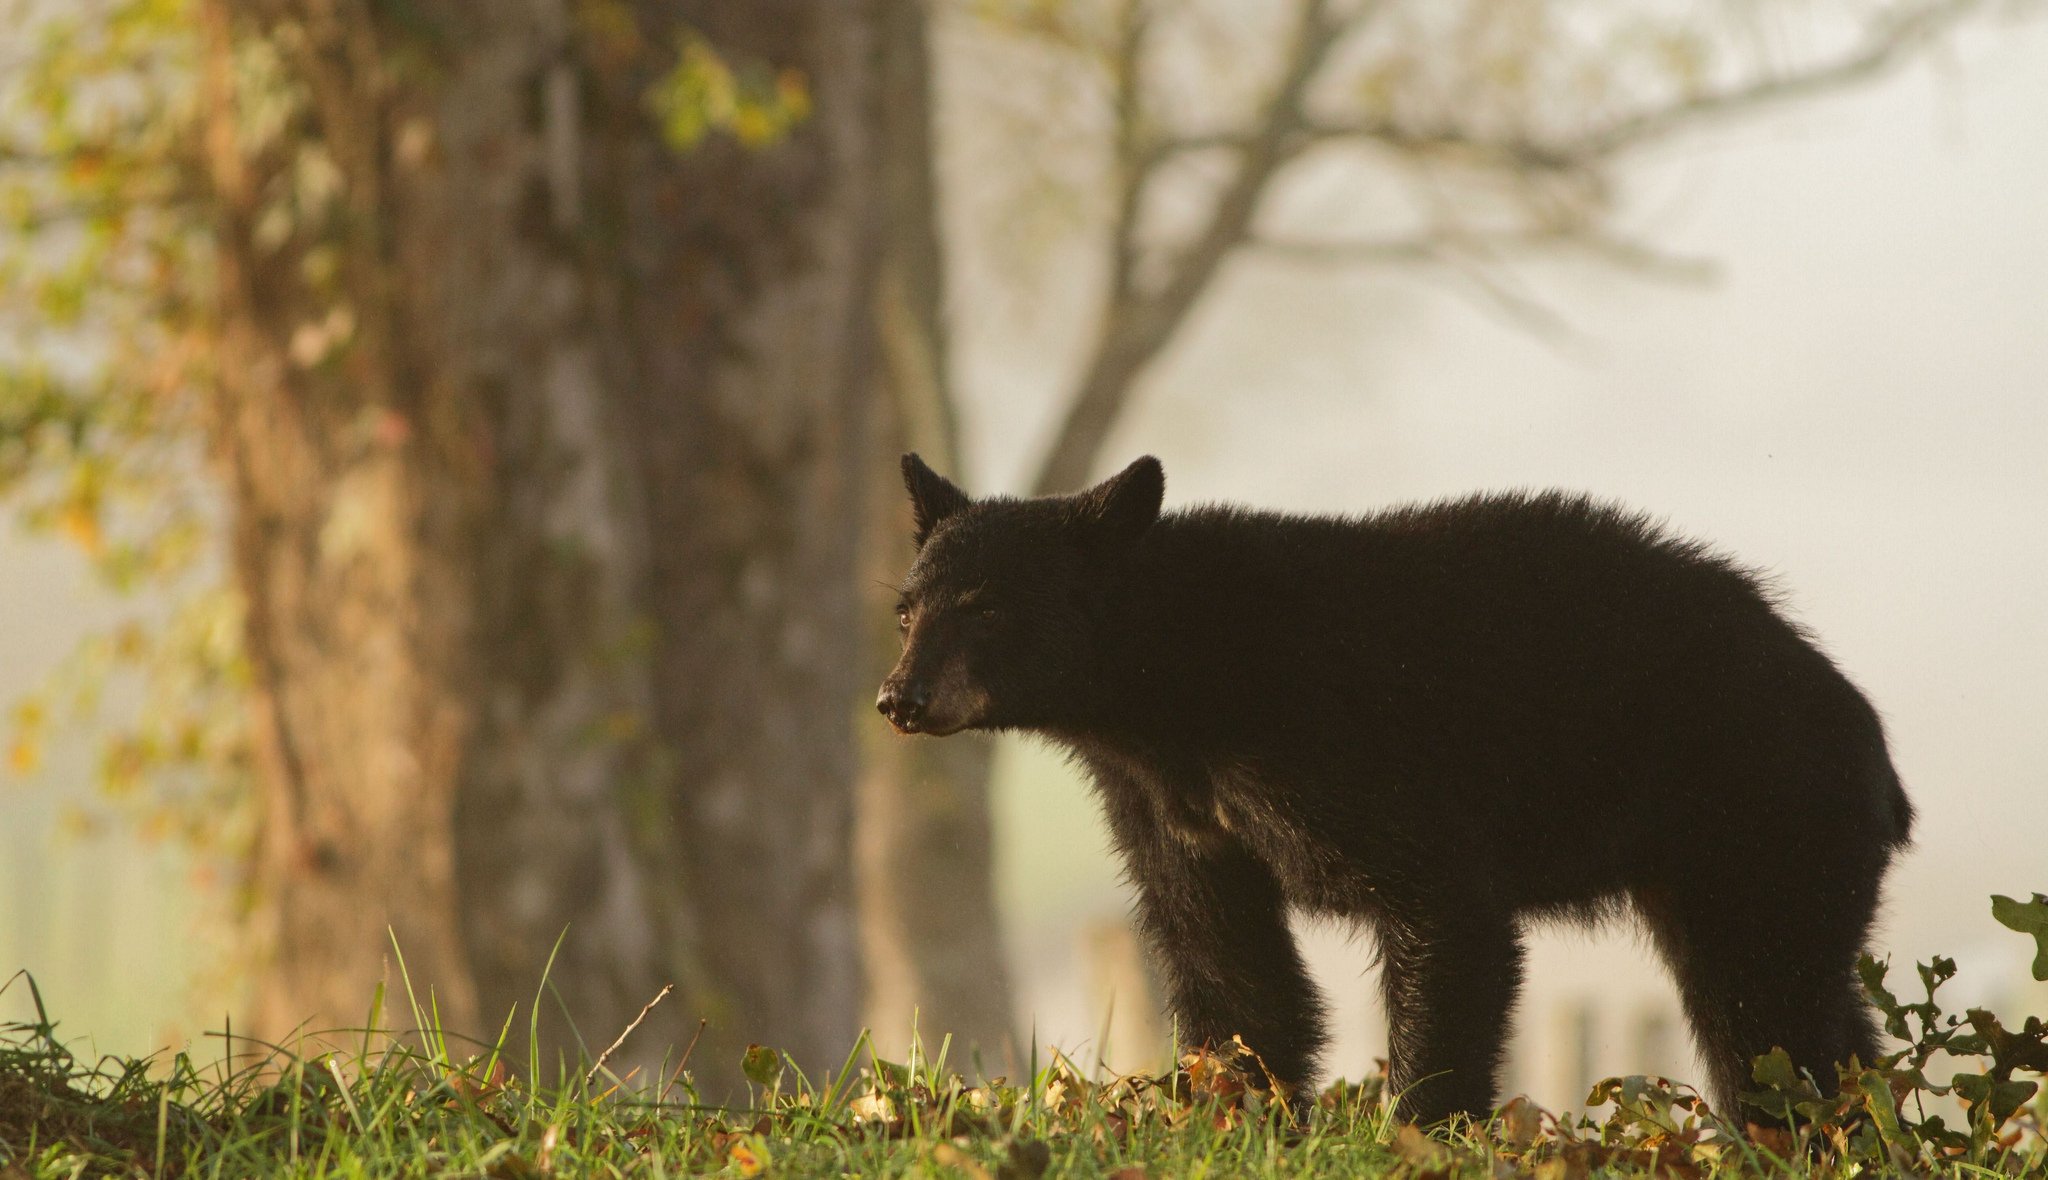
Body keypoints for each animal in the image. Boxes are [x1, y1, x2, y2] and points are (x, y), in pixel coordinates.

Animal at [876, 452, 1913, 1127]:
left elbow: (1443, 913)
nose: (900, 698)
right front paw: (1234, 1116)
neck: (1179, 686)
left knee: (1765, 1020)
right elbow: (1224, 956)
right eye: (906, 608)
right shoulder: (1168, 806)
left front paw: (1417, 1127)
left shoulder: (1341, 751)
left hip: (1763, 820)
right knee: (1819, 1016)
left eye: (988, 607)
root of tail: (1878, 756)